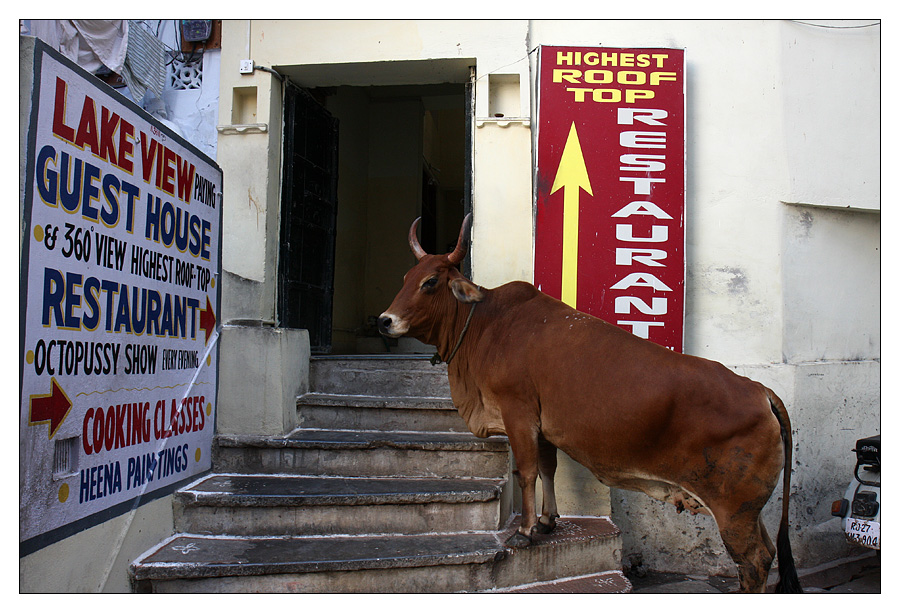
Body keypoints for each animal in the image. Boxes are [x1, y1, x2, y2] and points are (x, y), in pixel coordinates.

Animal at [378, 215, 800, 592]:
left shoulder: (518, 414)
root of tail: (759, 389)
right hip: (747, 511)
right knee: (767, 553)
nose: (385, 320)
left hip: (733, 512)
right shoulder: (542, 425)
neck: (484, 325)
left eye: (431, 282)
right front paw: (547, 521)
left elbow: (527, 472)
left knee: (755, 563)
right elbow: (547, 469)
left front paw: (526, 530)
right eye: (405, 280)